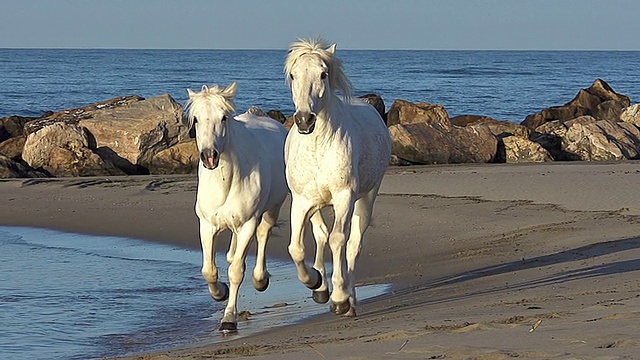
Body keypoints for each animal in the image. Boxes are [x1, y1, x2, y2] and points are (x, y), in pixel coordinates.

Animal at [182, 81, 288, 332]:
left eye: (223, 118)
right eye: (196, 120)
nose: (209, 156)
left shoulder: (248, 223)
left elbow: (237, 271)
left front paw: (229, 318)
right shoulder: (207, 225)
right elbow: (208, 270)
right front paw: (219, 292)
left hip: (272, 209)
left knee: (263, 235)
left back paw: (260, 279)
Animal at [284, 38, 390, 316]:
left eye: (323, 74)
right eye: (293, 75)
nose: (304, 119)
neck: (318, 147)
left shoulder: (344, 196)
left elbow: (338, 240)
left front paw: (340, 297)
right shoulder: (301, 201)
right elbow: (296, 247)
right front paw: (315, 282)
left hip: (365, 199)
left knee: (352, 244)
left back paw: (349, 300)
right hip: (316, 203)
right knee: (320, 233)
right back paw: (321, 288)